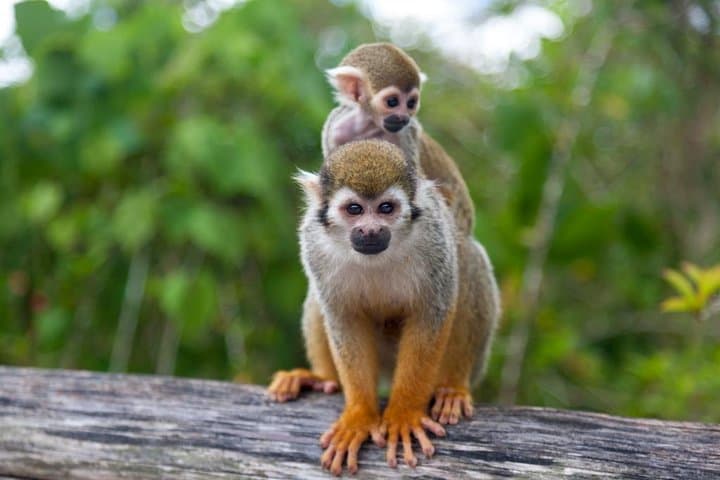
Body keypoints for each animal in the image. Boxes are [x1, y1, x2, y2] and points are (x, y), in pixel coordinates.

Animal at [268, 140, 500, 475]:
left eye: (386, 208)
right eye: (354, 209)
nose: (371, 231)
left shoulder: (434, 238)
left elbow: (431, 313)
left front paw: (403, 414)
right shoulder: (314, 243)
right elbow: (343, 319)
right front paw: (359, 416)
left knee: (467, 259)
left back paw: (453, 388)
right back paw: (322, 378)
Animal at [321, 42, 476, 236]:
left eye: (411, 103)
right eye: (393, 102)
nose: (403, 118)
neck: (370, 125)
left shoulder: (405, 134)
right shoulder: (335, 128)